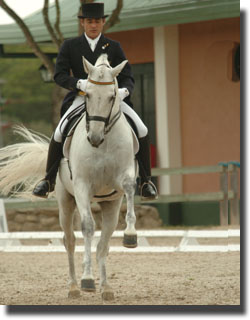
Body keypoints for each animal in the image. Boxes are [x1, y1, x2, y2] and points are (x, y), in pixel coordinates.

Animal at [0, 53, 139, 302]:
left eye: (113, 96)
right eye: (88, 95)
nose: (94, 138)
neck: (104, 143)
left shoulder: (123, 181)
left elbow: (130, 188)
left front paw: (131, 235)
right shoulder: (82, 187)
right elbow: (87, 228)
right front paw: (87, 280)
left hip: (111, 204)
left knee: (104, 243)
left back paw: (106, 288)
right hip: (66, 202)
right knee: (71, 240)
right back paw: (74, 286)